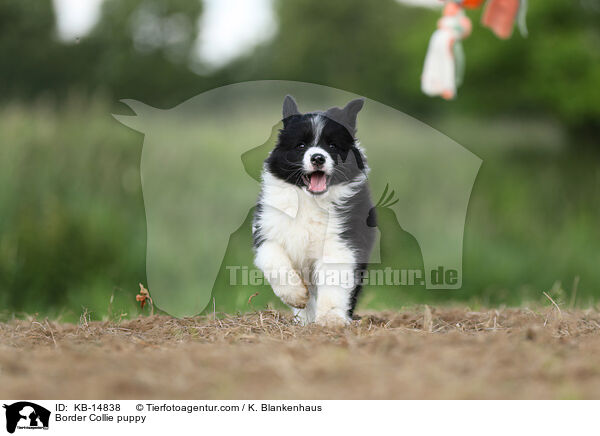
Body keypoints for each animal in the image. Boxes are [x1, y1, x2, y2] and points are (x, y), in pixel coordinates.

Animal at [252, 96, 376, 328]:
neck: (310, 201)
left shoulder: (341, 242)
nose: (318, 158)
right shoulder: (268, 230)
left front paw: (330, 319)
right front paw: (296, 296)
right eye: (301, 145)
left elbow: (334, 280)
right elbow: (273, 259)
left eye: (332, 145)